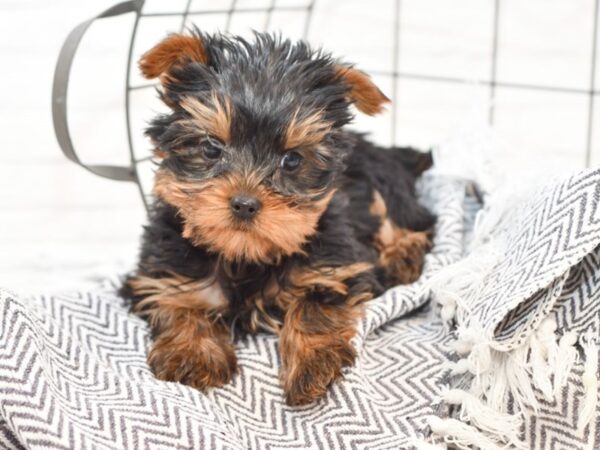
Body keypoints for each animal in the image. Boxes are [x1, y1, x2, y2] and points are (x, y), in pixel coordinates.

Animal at [124, 29, 436, 406]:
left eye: (292, 160)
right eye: (211, 147)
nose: (245, 204)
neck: (244, 256)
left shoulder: (334, 266)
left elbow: (314, 305)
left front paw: (313, 365)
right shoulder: (163, 269)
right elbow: (178, 300)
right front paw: (192, 354)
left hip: (383, 182)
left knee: (409, 222)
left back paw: (402, 257)